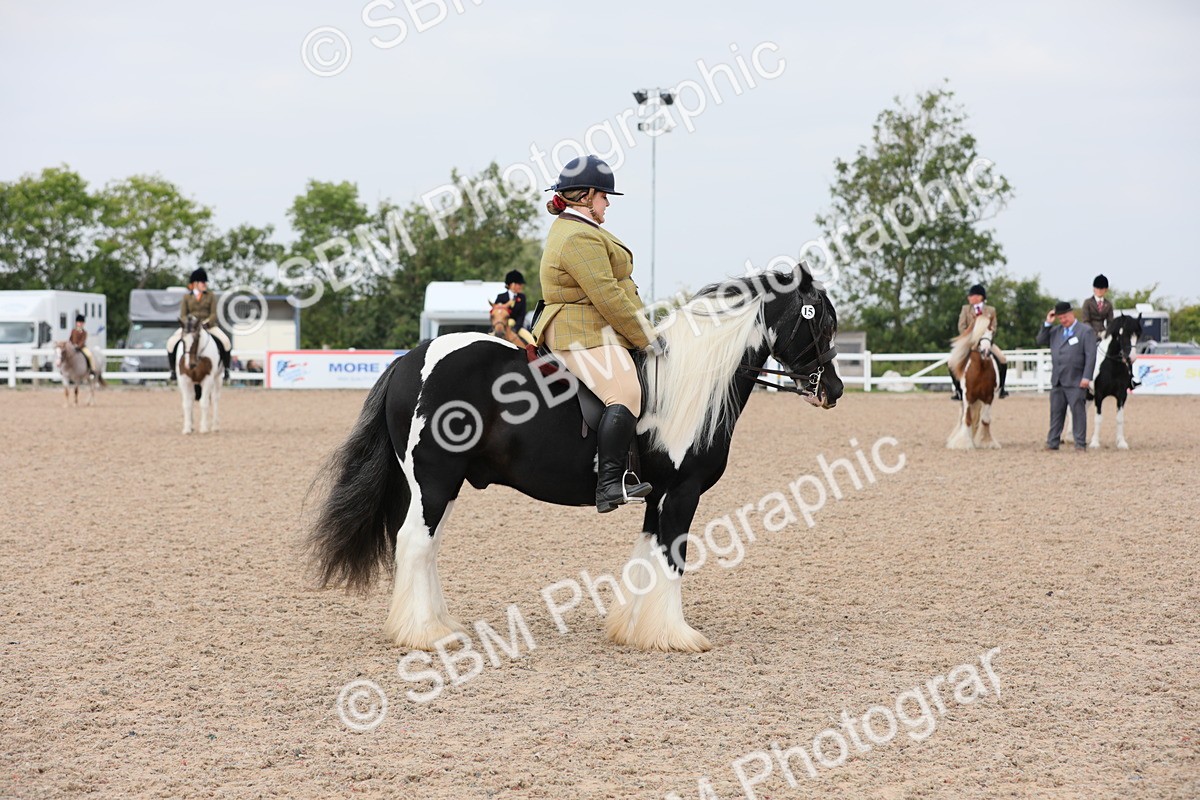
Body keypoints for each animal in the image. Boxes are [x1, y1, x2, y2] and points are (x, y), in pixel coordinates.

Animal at [308, 265, 842, 653]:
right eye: (819, 318)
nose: (833, 390)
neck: (689, 381)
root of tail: (408, 359)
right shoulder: (683, 492)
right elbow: (672, 557)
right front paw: (675, 636)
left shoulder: (656, 494)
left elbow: (648, 554)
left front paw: (635, 630)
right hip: (435, 479)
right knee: (416, 542)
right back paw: (425, 634)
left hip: (441, 484)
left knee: (426, 545)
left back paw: (439, 625)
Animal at [946, 315, 999, 449]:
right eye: (978, 333)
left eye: (992, 333)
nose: (986, 352)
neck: (980, 367)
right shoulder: (967, 396)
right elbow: (967, 419)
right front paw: (963, 443)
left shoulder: (988, 397)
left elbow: (985, 420)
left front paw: (987, 442)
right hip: (963, 399)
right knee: (962, 416)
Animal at [1088, 313, 1141, 450]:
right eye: (1124, 334)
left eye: (1138, 336)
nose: (1131, 358)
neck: (1112, 364)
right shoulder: (1099, 394)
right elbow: (1098, 418)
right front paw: (1095, 443)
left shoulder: (1122, 395)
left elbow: (1119, 418)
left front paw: (1121, 442)